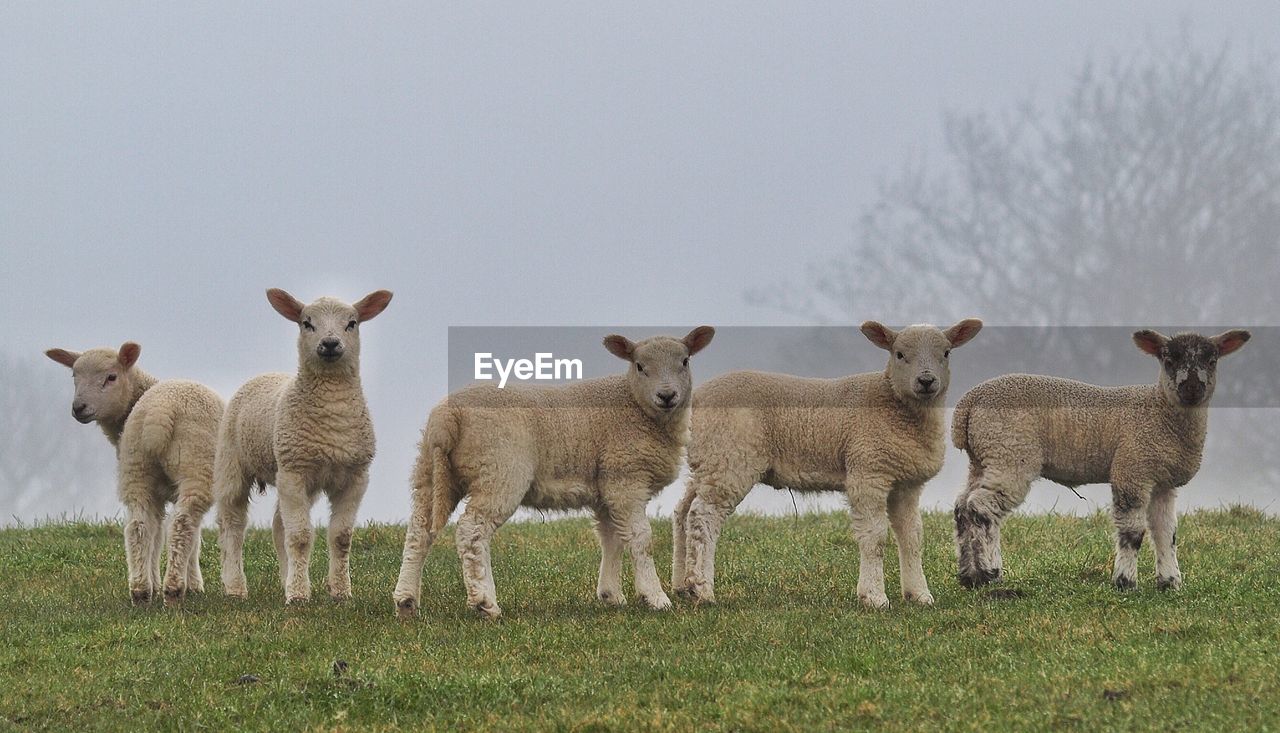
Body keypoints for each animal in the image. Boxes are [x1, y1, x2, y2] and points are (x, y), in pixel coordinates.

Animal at [213, 289, 389, 603]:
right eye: (307, 323)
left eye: (352, 323)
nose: (330, 343)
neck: (332, 414)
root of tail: (265, 374)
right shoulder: (294, 472)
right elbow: (301, 537)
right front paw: (298, 597)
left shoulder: (356, 477)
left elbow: (340, 537)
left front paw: (340, 593)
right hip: (233, 461)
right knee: (232, 524)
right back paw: (235, 587)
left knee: (278, 526)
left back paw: (287, 579)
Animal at [394, 326, 716, 616]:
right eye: (639, 366)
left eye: (684, 361)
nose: (667, 395)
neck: (637, 407)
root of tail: (449, 416)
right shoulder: (625, 479)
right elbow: (640, 539)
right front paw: (656, 597)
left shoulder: (607, 488)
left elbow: (611, 539)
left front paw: (611, 595)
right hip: (499, 470)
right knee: (472, 531)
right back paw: (485, 603)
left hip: (432, 471)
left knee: (420, 530)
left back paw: (406, 601)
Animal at [675, 317, 983, 608]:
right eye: (899, 354)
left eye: (946, 353)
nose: (926, 381)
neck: (895, 405)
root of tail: (697, 398)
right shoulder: (868, 472)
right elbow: (875, 537)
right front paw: (874, 596)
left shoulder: (906, 483)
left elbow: (912, 537)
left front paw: (918, 594)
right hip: (729, 458)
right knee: (703, 517)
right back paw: (702, 589)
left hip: (708, 461)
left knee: (683, 512)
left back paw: (682, 584)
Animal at [962, 327, 1249, 591]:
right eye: (1168, 360)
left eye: (1212, 360)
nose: (1191, 388)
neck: (1159, 412)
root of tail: (970, 401)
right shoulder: (1132, 469)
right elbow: (1133, 532)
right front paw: (1125, 582)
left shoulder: (1162, 482)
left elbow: (1166, 533)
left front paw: (1169, 583)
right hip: (1010, 454)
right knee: (981, 508)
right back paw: (989, 573)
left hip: (984, 458)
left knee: (962, 508)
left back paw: (969, 575)